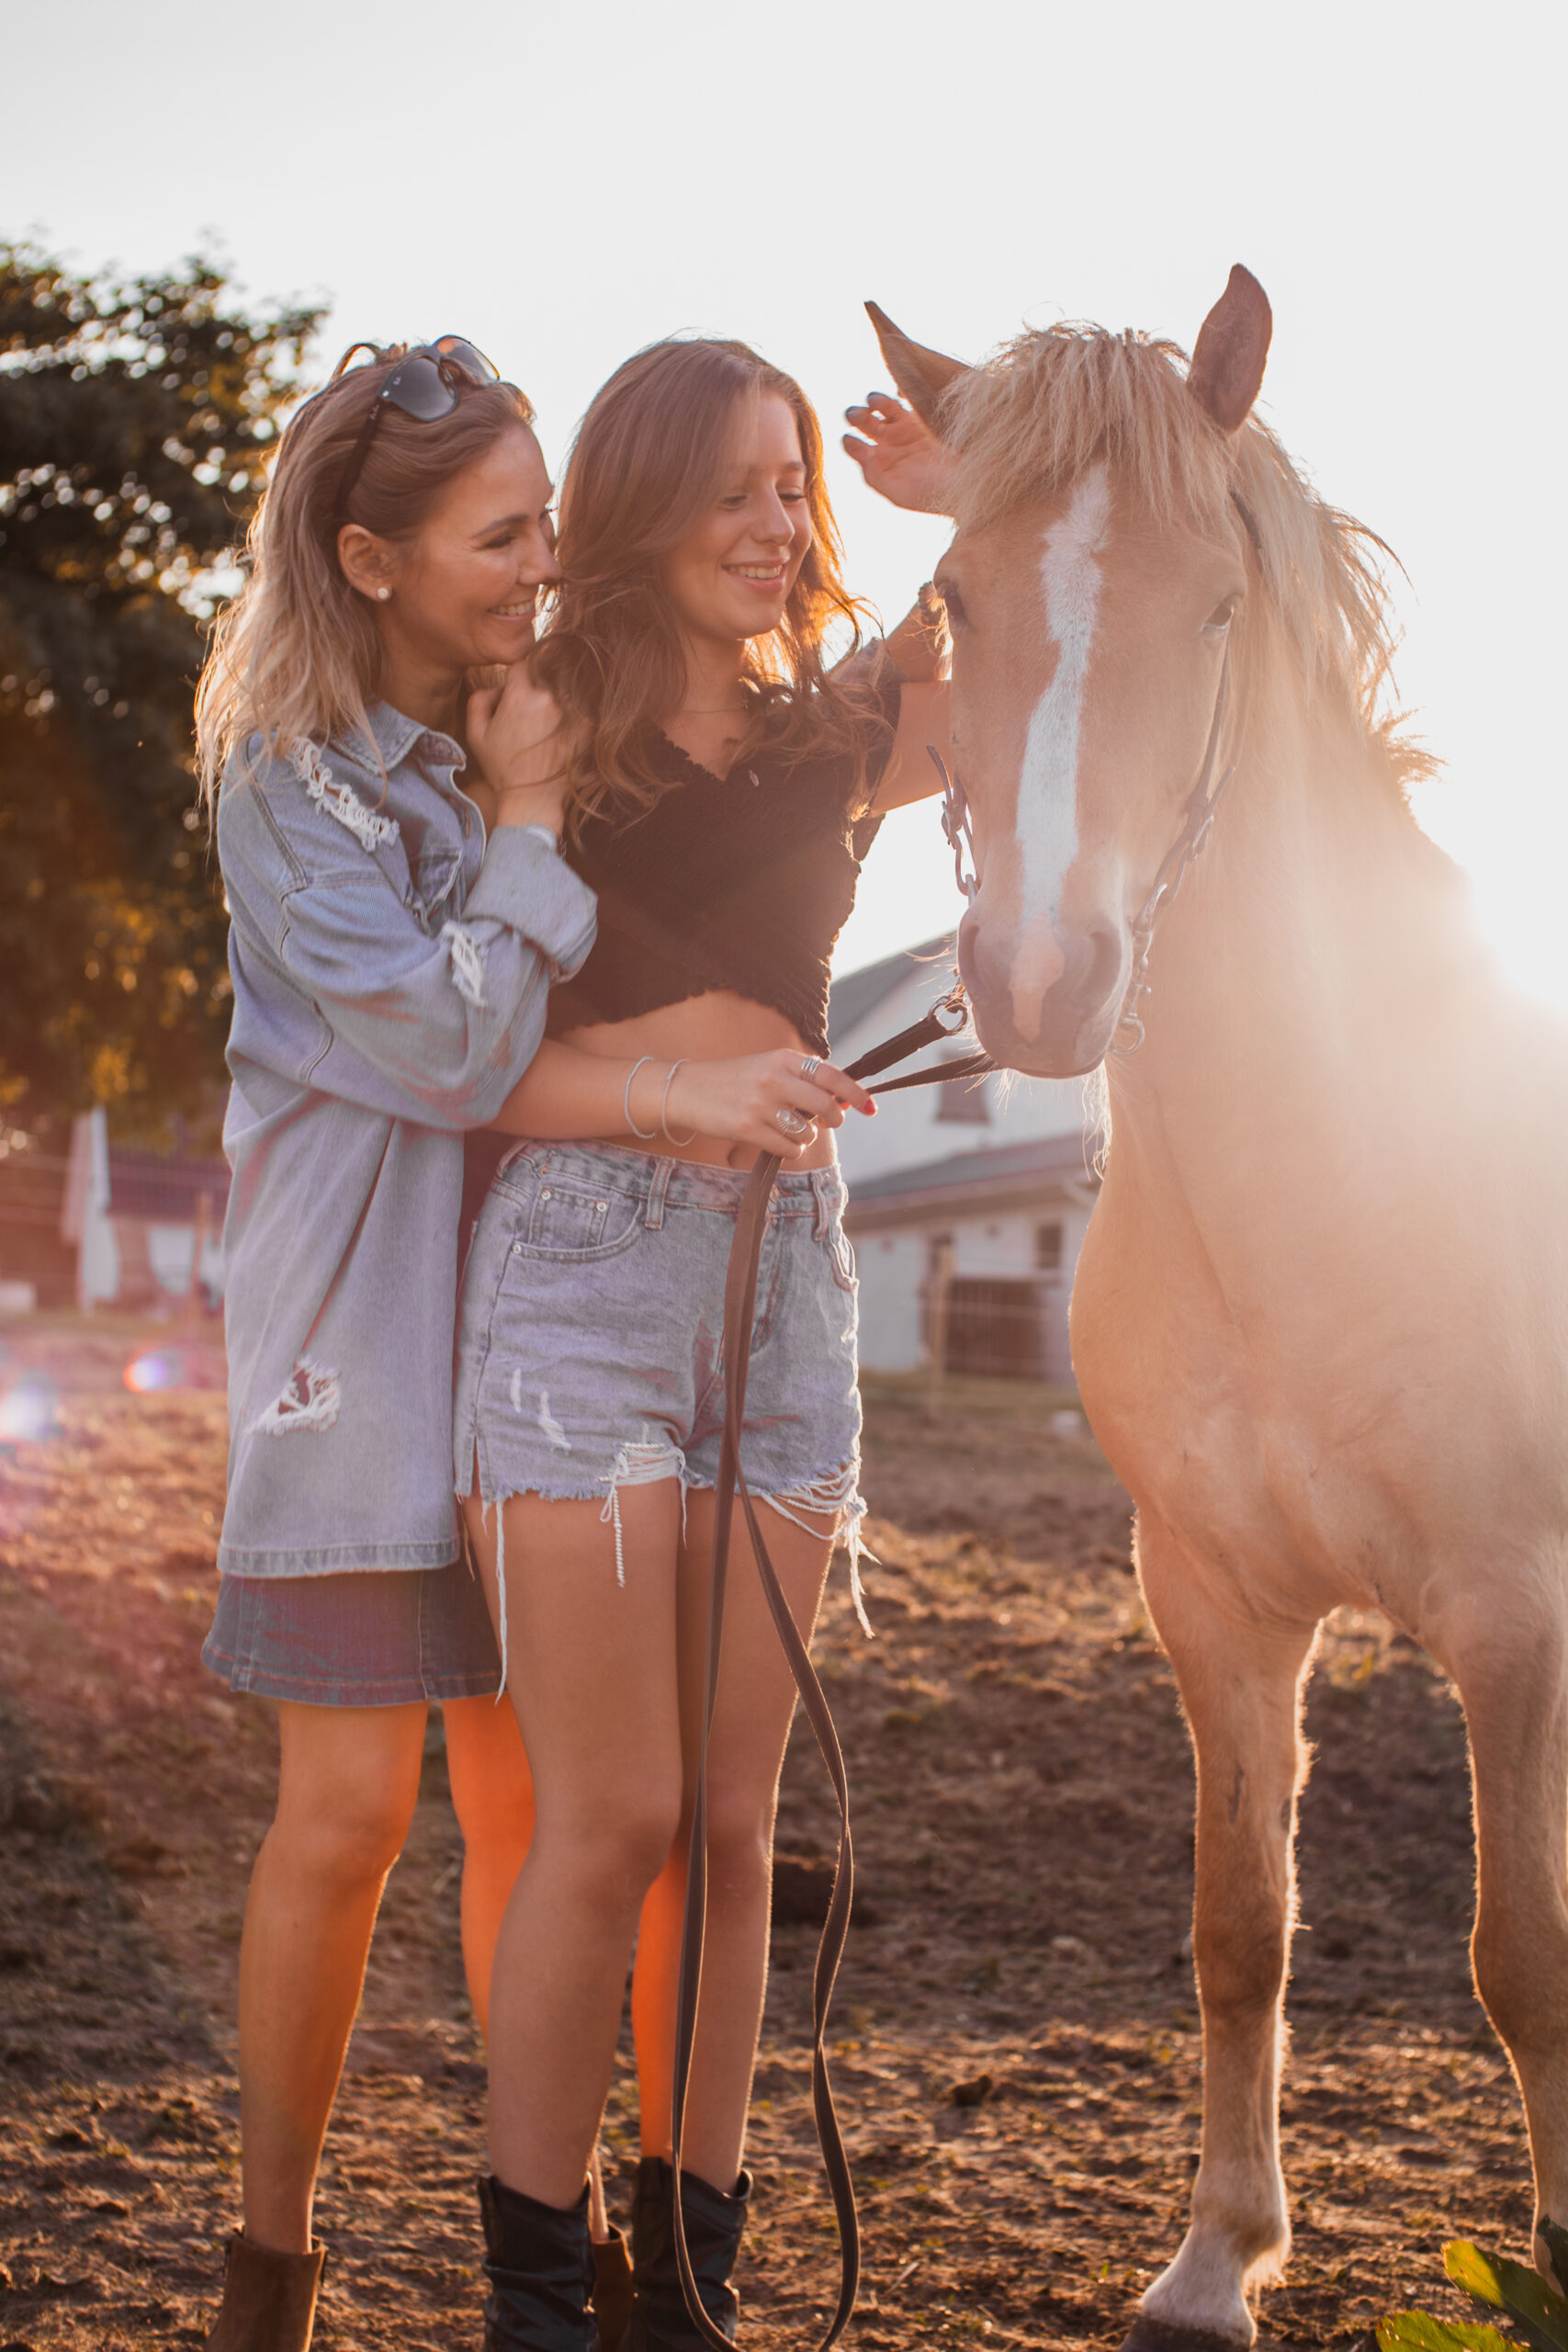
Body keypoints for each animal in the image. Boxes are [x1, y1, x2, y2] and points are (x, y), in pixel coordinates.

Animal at [864, 267, 1568, 2350]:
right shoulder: (1210, 1602)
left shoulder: (1509, 1613)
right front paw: (1211, 2261)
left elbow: (1519, 1956)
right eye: (955, 598)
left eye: (1215, 607)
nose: (1038, 978)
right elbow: (1236, 1924)